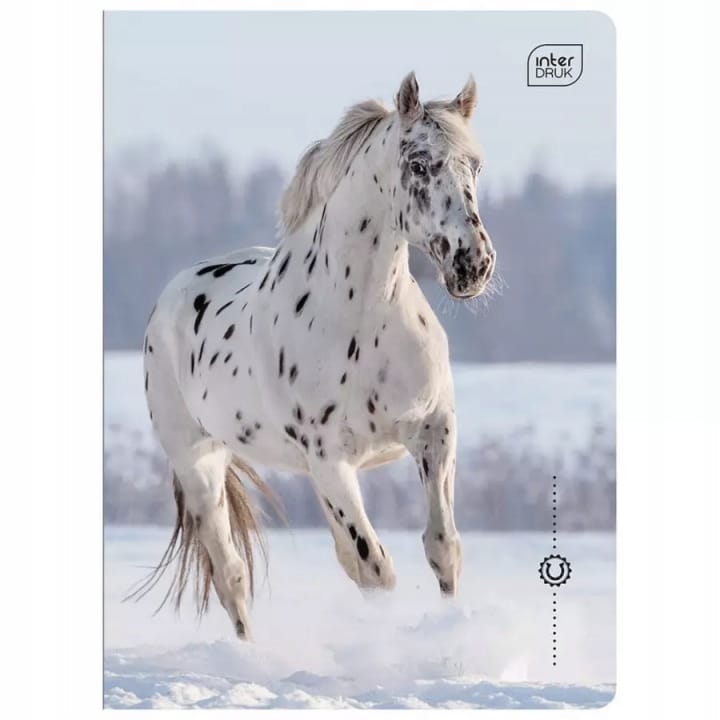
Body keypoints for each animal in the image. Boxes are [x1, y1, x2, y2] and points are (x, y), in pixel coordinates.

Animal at [131, 72, 496, 640]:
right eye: (418, 163)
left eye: (474, 165)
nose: (472, 263)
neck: (362, 319)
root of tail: (171, 294)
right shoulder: (331, 460)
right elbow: (376, 567)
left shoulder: (434, 430)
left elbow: (442, 547)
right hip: (199, 463)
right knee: (231, 574)